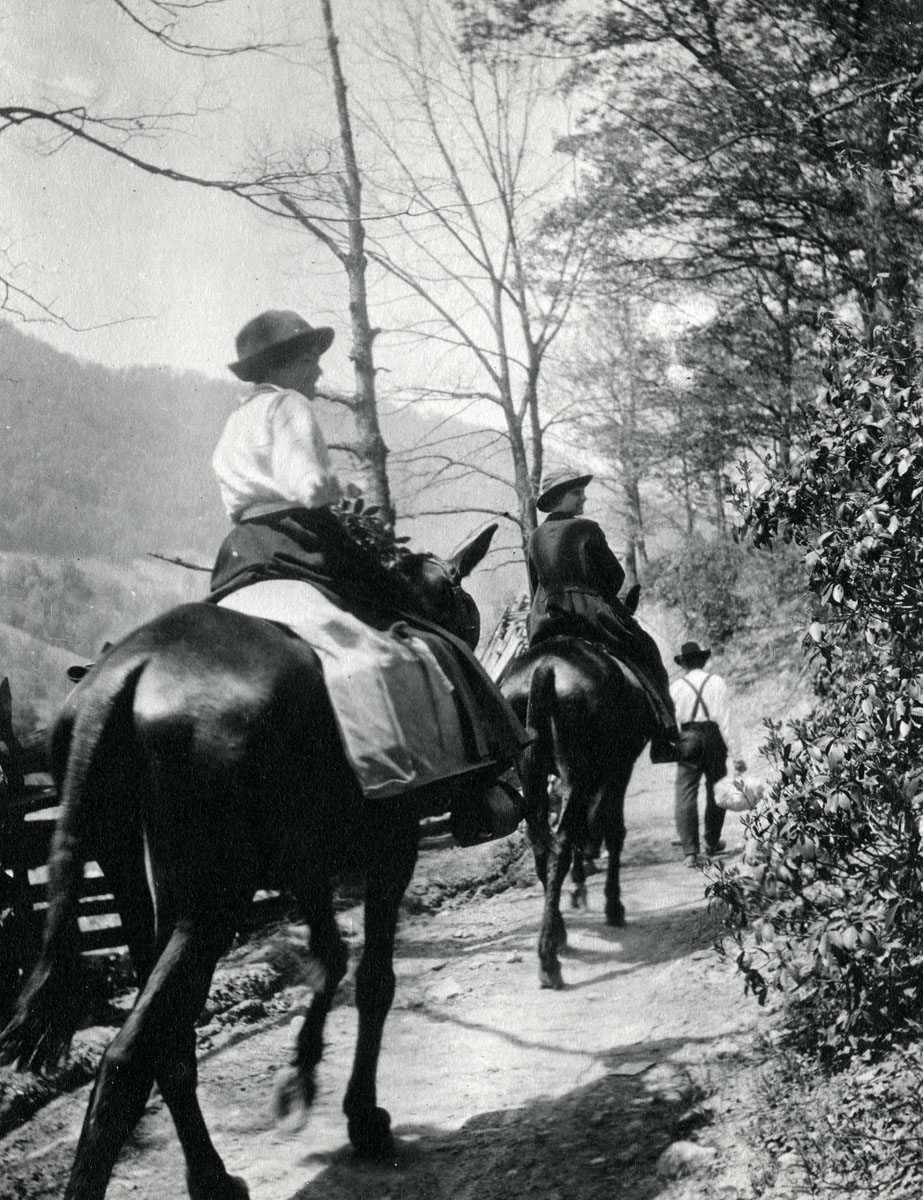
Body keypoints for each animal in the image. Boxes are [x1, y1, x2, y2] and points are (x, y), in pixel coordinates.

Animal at [0, 525, 500, 1200]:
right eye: (457, 600)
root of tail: (124, 675)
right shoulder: (389, 851)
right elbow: (373, 979)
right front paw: (362, 1116)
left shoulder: (309, 868)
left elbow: (330, 957)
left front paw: (303, 1075)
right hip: (213, 904)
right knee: (131, 1054)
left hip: (142, 891)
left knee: (172, 1041)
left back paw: (212, 1175)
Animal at [500, 634, 656, 989]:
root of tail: (545, 666)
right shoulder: (618, 770)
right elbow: (613, 832)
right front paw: (613, 904)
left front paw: (580, 888)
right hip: (580, 772)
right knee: (560, 846)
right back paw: (549, 959)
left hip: (531, 772)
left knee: (542, 846)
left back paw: (557, 934)